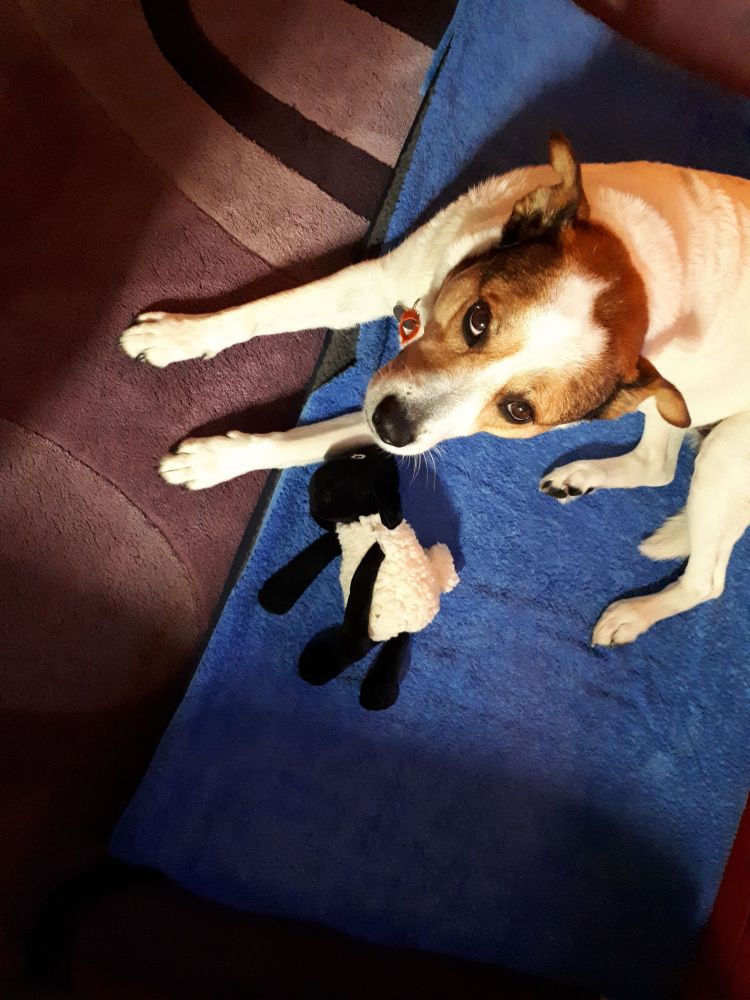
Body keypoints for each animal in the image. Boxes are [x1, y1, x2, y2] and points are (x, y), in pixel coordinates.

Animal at [121, 133, 750, 646]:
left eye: (518, 410)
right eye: (477, 319)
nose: (389, 428)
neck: (638, 266)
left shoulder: (422, 422)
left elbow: (291, 443)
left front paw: (213, 460)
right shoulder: (386, 283)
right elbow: (263, 311)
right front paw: (180, 335)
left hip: (727, 455)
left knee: (707, 579)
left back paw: (634, 614)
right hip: (675, 407)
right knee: (658, 465)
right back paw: (580, 477)